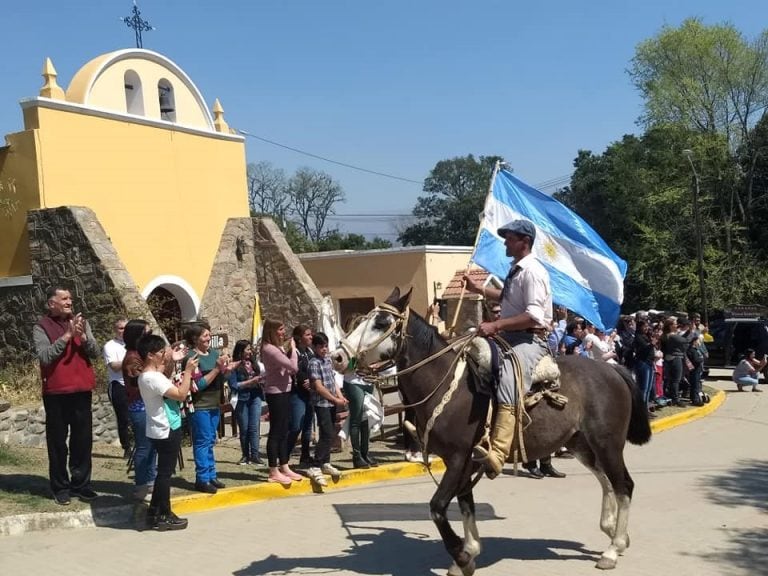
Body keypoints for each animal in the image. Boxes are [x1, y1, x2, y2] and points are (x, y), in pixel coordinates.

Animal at [332, 288, 652, 576]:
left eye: (381, 323)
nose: (337, 356)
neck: (446, 383)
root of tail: (612, 370)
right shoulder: (461, 461)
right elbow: (464, 503)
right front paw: (469, 552)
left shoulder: (459, 458)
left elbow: (438, 507)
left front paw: (462, 555)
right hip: (581, 445)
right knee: (607, 481)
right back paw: (612, 531)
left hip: (607, 444)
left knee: (623, 485)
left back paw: (613, 548)